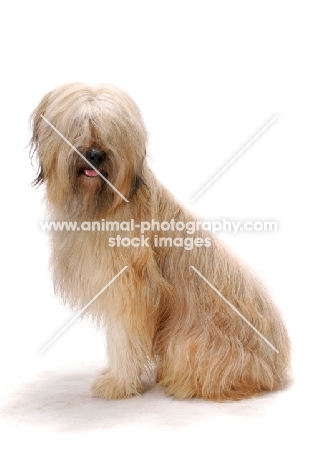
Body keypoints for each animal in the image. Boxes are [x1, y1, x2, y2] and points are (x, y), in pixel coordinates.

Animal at [30, 83, 292, 398]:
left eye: (111, 128)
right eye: (78, 123)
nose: (95, 154)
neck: (102, 205)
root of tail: (275, 370)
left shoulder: (131, 288)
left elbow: (123, 336)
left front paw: (118, 383)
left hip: (188, 342)